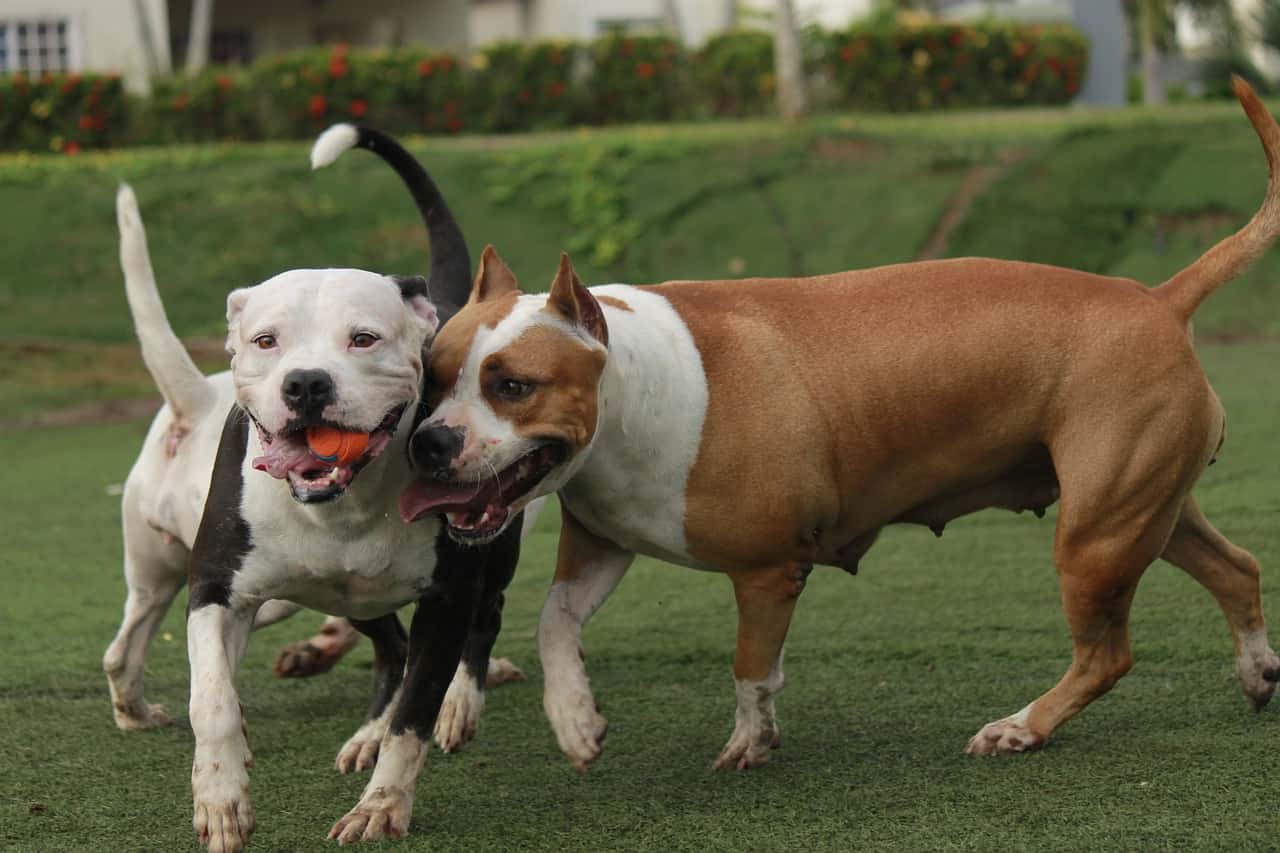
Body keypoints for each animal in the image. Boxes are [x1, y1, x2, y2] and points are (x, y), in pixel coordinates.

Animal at [112, 128, 542, 850]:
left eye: (364, 338)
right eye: (265, 340)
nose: (307, 382)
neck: (342, 507)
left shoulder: (446, 597)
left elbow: (415, 716)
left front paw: (383, 804)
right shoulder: (218, 589)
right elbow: (213, 698)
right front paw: (221, 794)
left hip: (490, 540)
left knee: (481, 619)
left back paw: (458, 702)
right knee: (388, 648)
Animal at [399, 79, 1280, 768]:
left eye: (513, 385)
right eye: (431, 375)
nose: (429, 441)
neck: (628, 387)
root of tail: (1159, 297)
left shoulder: (765, 570)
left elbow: (751, 666)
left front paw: (749, 741)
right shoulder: (602, 542)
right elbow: (554, 621)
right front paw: (575, 720)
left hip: (1096, 534)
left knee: (1107, 653)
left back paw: (1022, 727)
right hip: (1143, 508)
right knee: (1236, 568)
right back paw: (1256, 671)